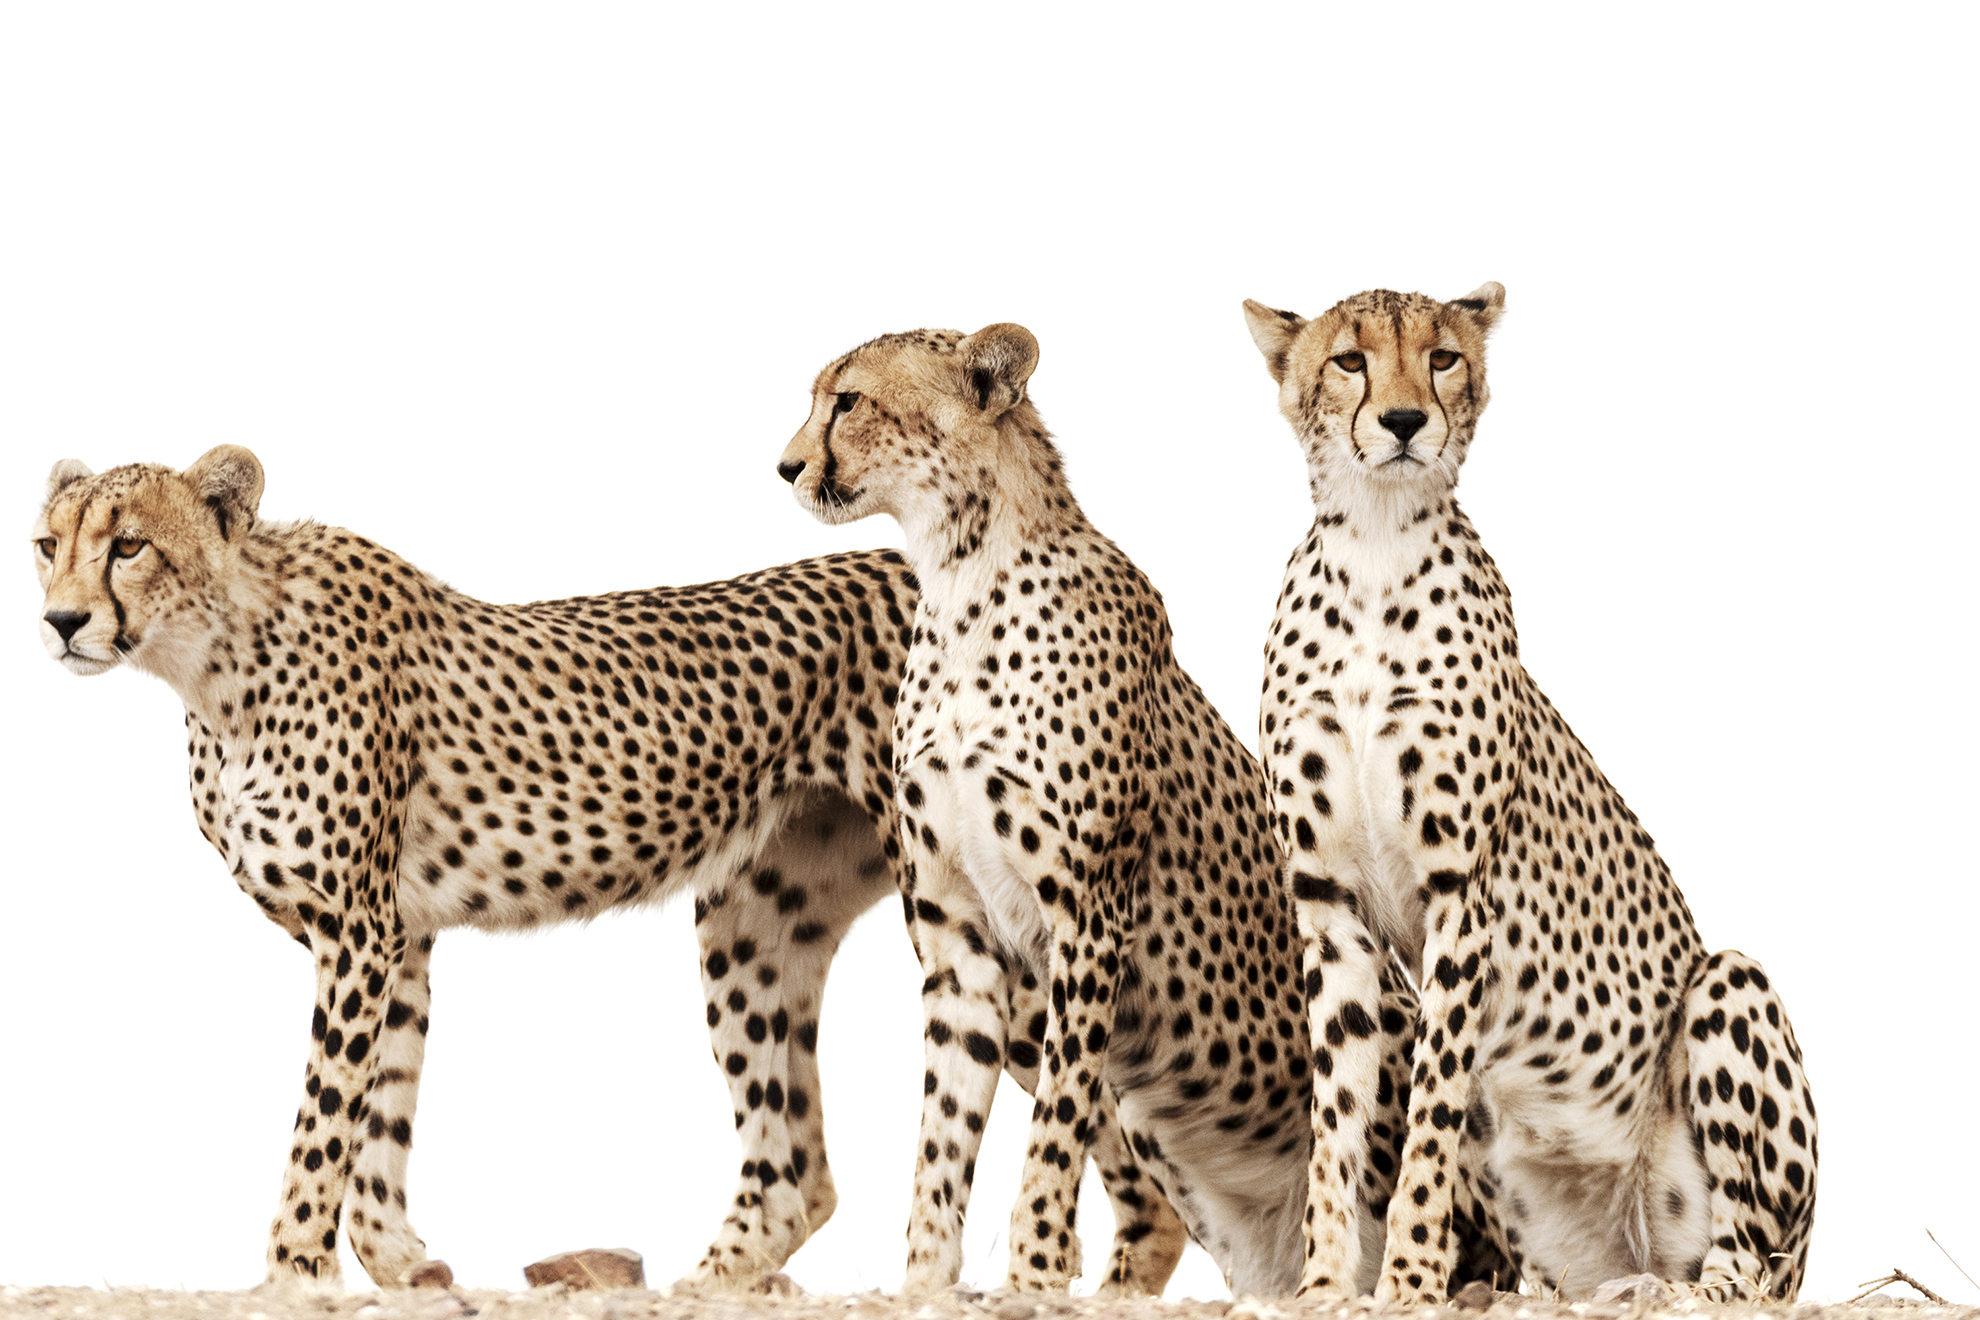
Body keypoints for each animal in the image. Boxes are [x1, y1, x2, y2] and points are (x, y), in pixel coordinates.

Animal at [29, 447, 1183, 1294]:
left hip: (999, 930)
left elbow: (325, 1118)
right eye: (46, 545)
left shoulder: (358, 933)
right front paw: (400, 1264)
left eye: (128, 545)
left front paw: (292, 1269)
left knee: (1122, 1136)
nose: (60, 620)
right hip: (754, 927)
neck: (213, 666)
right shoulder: (397, 939)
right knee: (799, 1174)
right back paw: (707, 1282)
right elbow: (381, 1110)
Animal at [772, 323, 1494, 1299]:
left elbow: (1055, 1127)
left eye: (847, 400)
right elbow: (939, 1144)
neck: (962, 584)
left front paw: (1033, 1274)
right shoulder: (959, 940)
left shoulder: (1087, 917)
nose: (787, 465)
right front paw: (924, 1282)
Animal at [1241, 283, 1818, 1302]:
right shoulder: (1329, 903)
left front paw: (1407, 1281)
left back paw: (1692, 1293)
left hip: (1730, 989)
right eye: (1350, 359)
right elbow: (1336, 1118)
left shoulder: (1459, 896)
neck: (1376, 548)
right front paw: (1322, 1286)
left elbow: (1428, 1113)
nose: (1404, 422)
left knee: (1752, 1259)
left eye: (1441, 357)